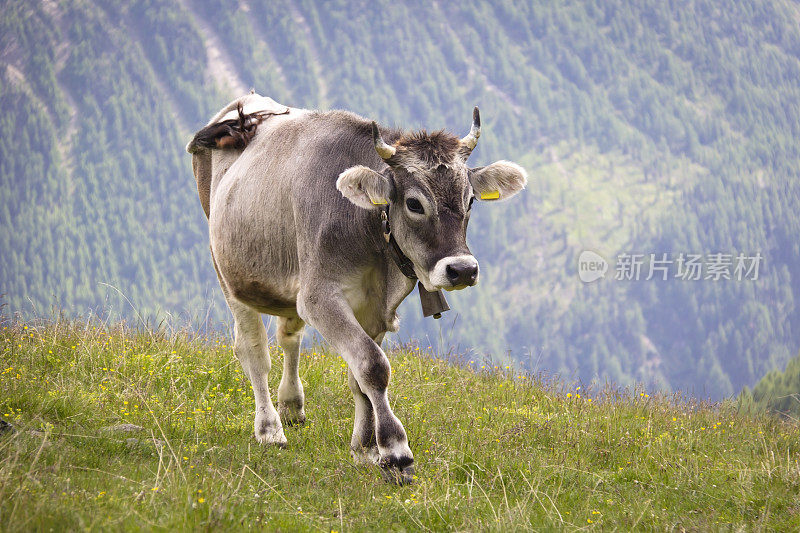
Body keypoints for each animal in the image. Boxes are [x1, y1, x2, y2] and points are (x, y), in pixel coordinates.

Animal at [184, 92, 528, 482]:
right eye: (414, 203)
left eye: (470, 200)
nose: (462, 270)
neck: (369, 233)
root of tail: (244, 107)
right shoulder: (319, 297)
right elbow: (373, 366)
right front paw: (395, 451)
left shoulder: (375, 307)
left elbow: (358, 375)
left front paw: (364, 449)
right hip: (229, 271)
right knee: (253, 351)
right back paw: (270, 429)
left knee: (289, 336)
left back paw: (291, 404)